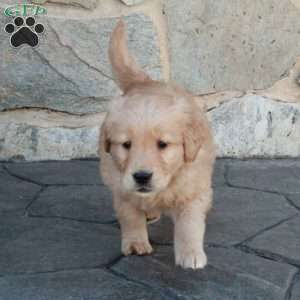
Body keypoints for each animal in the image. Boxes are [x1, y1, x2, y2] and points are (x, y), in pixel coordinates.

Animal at [99, 21, 216, 270]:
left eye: (163, 144)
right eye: (126, 144)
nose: (142, 177)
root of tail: (143, 81)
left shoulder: (194, 189)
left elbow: (189, 224)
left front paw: (191, 254)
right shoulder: (121, 187)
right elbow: (130, 216)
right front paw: (135, 243)